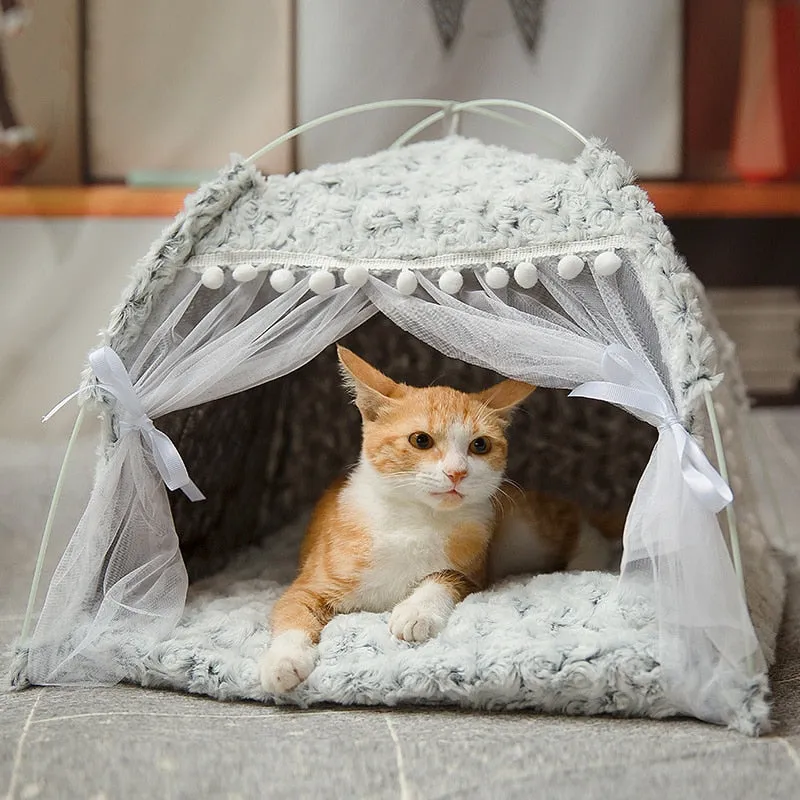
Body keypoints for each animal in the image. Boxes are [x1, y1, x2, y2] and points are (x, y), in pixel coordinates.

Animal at [260, 348, 620, 692]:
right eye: (421, 440)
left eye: (480, 445)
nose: (457, 472)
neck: (414, 519)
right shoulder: (310, 583)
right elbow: (291, 608)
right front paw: (284, 660)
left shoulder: (475, 571)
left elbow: (445, 578)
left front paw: (416, 611)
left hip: (521, 531)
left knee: (577, 525)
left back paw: (589, 562)